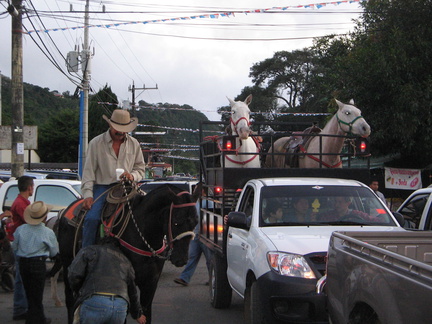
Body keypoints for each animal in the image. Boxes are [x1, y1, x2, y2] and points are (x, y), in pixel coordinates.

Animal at [53, 184, 199, 322]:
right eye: (176, 222)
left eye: (195, 222)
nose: (181, 259)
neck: (143, 233)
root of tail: (64, 211)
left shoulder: (151, 282)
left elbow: (146, 312)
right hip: (67, 264)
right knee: (70, 299)